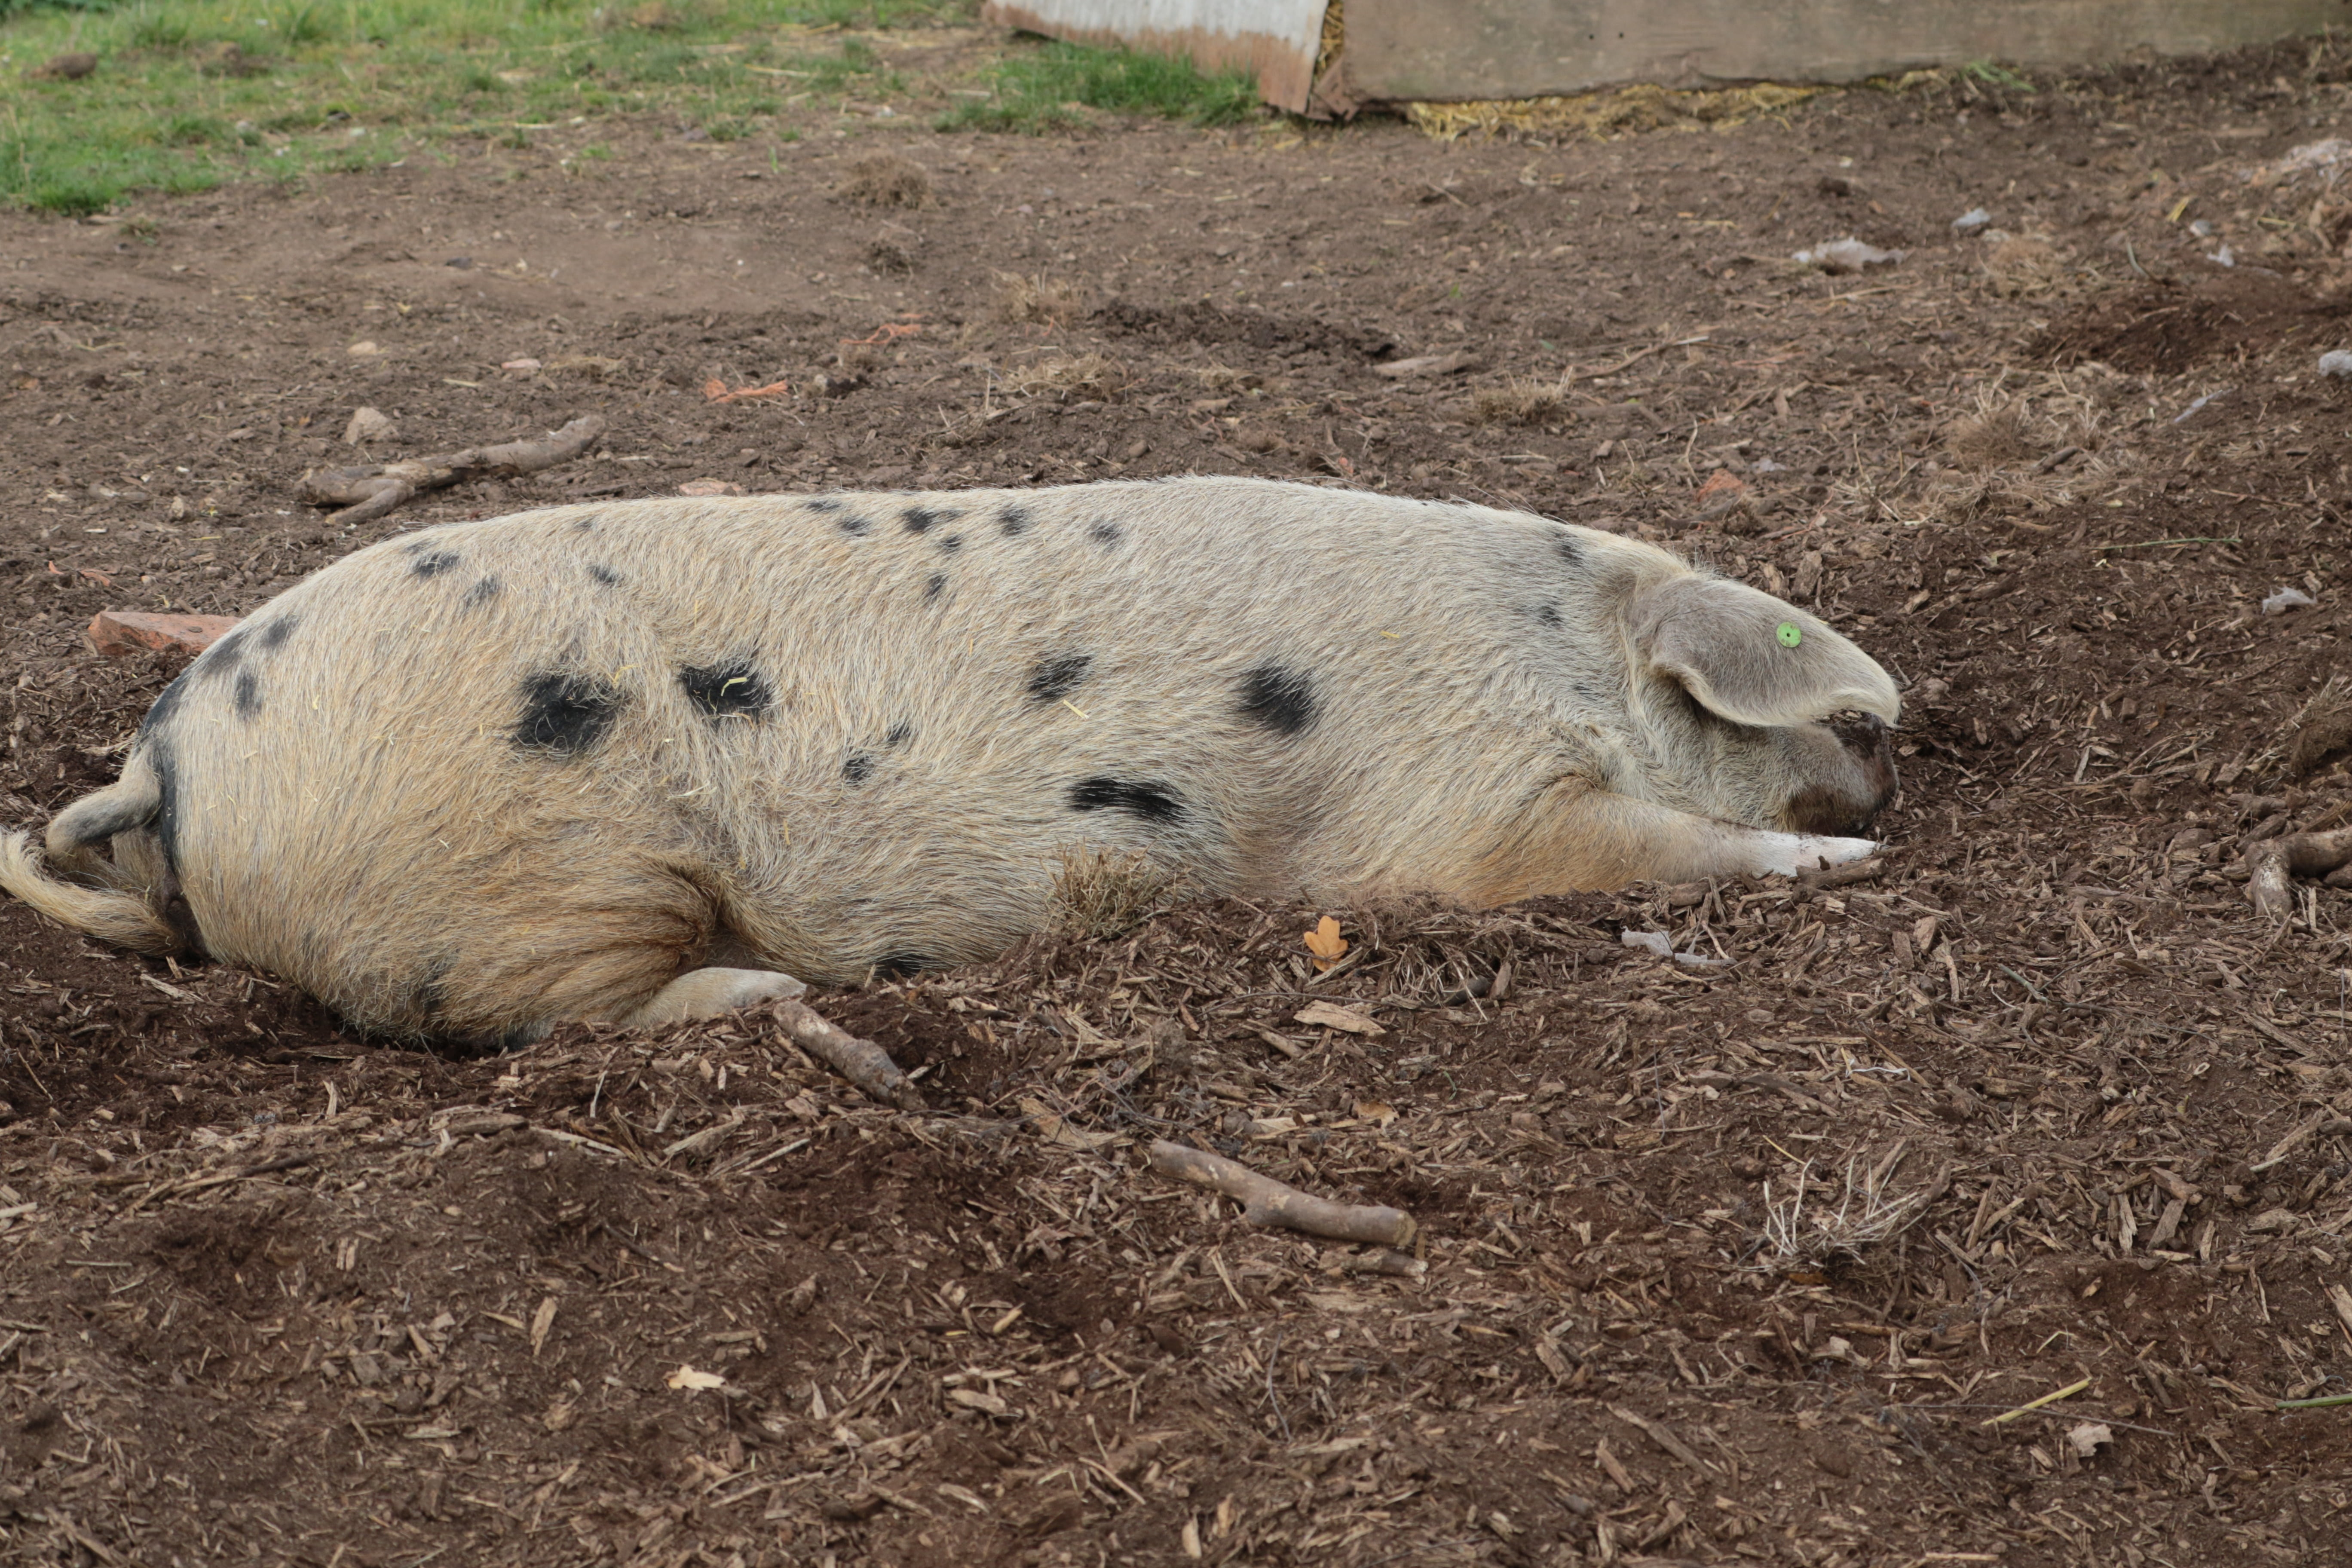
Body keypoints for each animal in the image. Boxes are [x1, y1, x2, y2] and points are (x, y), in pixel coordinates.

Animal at [0, 476, 1898, 1045]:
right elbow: (1647, 850)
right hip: (528, 889)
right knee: (552, 1019)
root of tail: (169, 765)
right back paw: (775, 1000)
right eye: (1845, 721)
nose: (1890, 789)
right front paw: (1854, 868)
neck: (1566, 650)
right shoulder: (1460, 815)